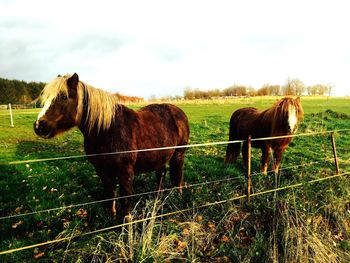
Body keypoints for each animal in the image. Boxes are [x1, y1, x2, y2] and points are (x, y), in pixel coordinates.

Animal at [34, 73, 190, 220]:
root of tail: (179, 112)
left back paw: (178, 197)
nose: (39, 126)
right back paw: (157, 199)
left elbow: (125, 199)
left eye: (63, 96)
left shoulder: (125, 172)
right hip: (160, 156)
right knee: (161, 174)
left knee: (178, 175)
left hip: (178, 154)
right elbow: (110, 194)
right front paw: (112, 217)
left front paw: (126, 223)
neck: (107, 130)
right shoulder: (102, 170)